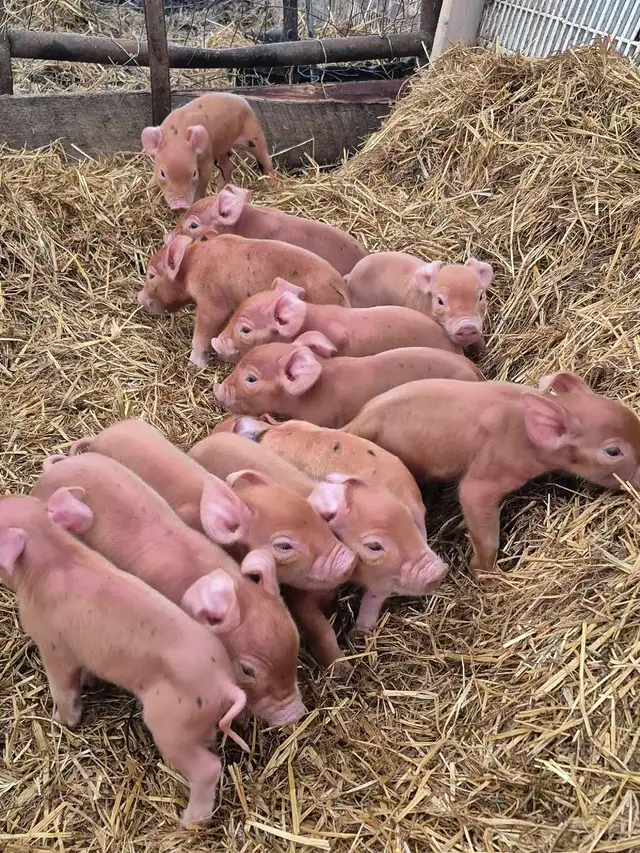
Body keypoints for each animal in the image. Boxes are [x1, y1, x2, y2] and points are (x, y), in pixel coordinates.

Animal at [0, 494, 246, 827]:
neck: (51, 554)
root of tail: (223, 684)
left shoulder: (55, 646)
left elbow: (63, 688)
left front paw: (61, 720)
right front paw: (89, 683)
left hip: (171, 724)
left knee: (208, 768)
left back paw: (187, 821)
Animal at [137, 233, 350, 367]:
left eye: (151, 275)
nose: (138, 298)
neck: (192, 264)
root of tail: (342, 290)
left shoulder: (211, 299)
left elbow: (204, 331)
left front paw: (194, 364)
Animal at [141, 93, 273, 211]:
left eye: (194, 173)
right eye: (163, 173)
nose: (180, 205)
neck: (177, 137)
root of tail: (242, 99)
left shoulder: (206, 157)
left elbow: (203, 181)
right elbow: (153, 182)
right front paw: (150, 195)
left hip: (254, 135)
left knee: (265, 158)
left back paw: (272, 181)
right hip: (222, 148)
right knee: (228, 167)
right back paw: (218, 192)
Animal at [189, 432, 448, 667]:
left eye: (408, 519)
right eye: (374, 546)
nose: (440, 571)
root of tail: (207, 440)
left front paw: (358, 634)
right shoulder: (300, 595)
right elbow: (320, 628)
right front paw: (342, 668)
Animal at [344, 372, 640, 584]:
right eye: (613, 451)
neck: (525, 436)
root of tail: (356, 422)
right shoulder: (487, 474)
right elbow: (479, 516)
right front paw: (489, 577)